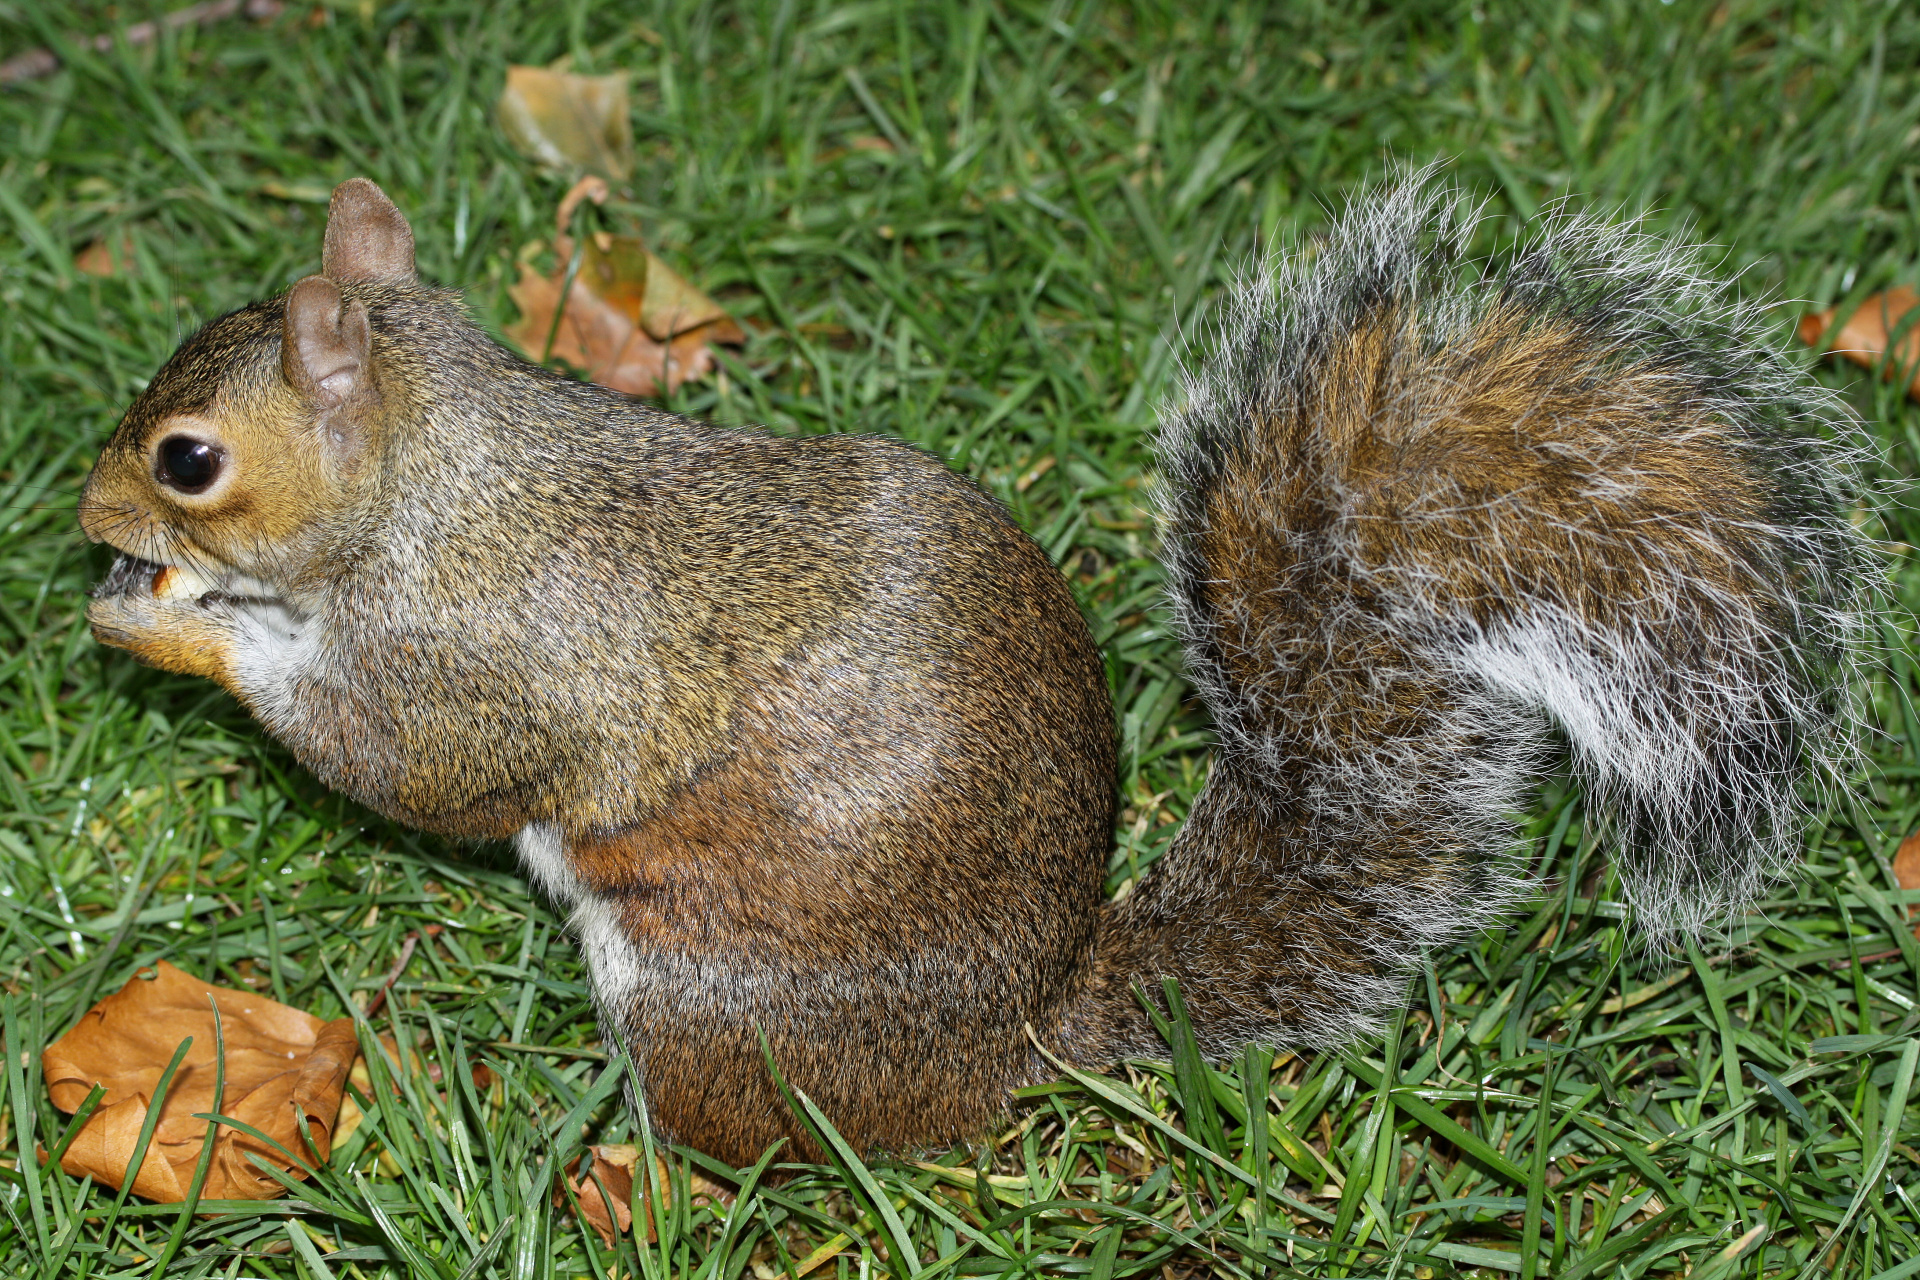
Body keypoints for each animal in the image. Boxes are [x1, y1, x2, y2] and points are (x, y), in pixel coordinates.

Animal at [78, 173, 1874, 1168]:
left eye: (188, 459)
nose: (84, 517)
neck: (437, 477)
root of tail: (1007, 1047)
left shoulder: (472, 660)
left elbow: (400, 767)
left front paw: (171, 623)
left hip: (708, 1005)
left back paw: (623, 1171)